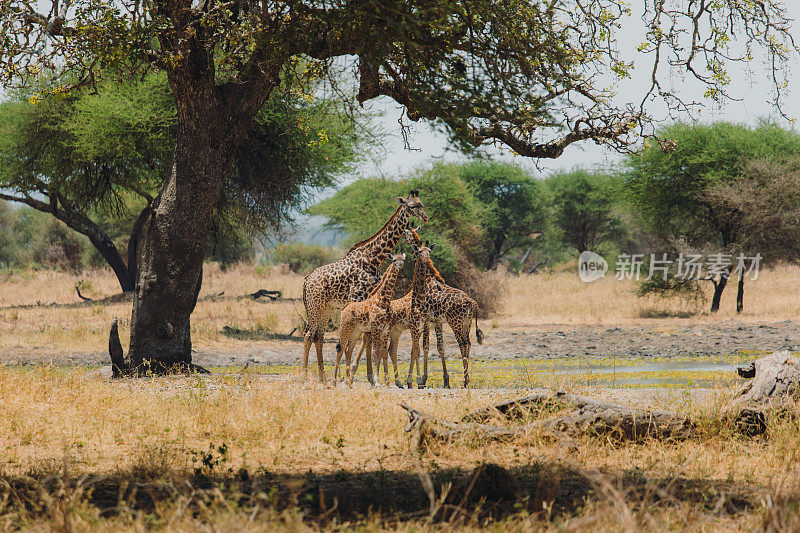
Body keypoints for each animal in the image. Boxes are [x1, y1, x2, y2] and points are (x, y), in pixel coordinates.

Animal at [334, 251, 406, 384]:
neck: (383, 299)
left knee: (348, 350)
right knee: (340, 349)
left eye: (403, 259)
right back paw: (334, 381)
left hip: (356, 331)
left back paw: (348, 381)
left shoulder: (385, 328)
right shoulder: (376, 327)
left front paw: (387, 381)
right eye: (394, 260)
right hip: (345, 328)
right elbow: (376, 352)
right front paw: (377, 381)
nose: (401, 265)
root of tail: (344, 308)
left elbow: (383, 352)